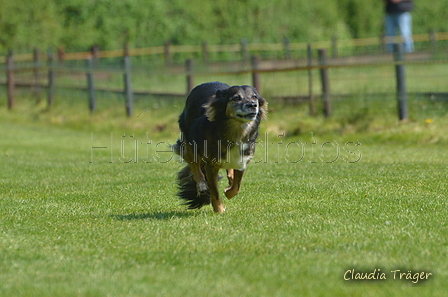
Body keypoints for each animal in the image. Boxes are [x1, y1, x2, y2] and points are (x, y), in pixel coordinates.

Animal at [173, 81, 268, 212]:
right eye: (236, 98)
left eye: (254, 97)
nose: (253, 105)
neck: (237, 131)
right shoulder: (210, 165)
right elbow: (215, 191)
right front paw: (219, 210)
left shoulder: (242, 160)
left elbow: (237, 187)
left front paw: (229, 192)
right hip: (190, 141)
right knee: (195, 166)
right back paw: (201, 185)